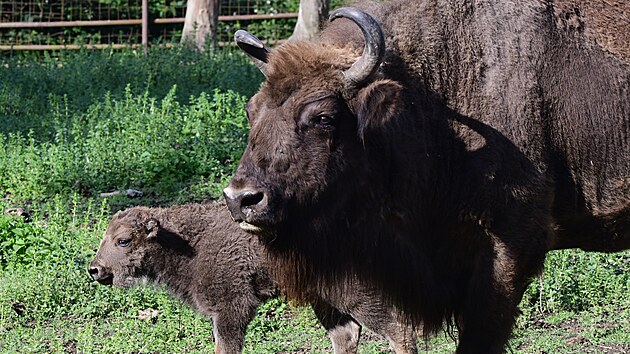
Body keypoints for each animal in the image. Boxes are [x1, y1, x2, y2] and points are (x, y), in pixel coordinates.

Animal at [87, 202, 414, 354]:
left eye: (123, 241)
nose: (95, 270)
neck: (185, 241)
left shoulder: (231, 309)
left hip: (355, 295)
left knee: (397, 329)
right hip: (324, 300)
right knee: (347, 334)